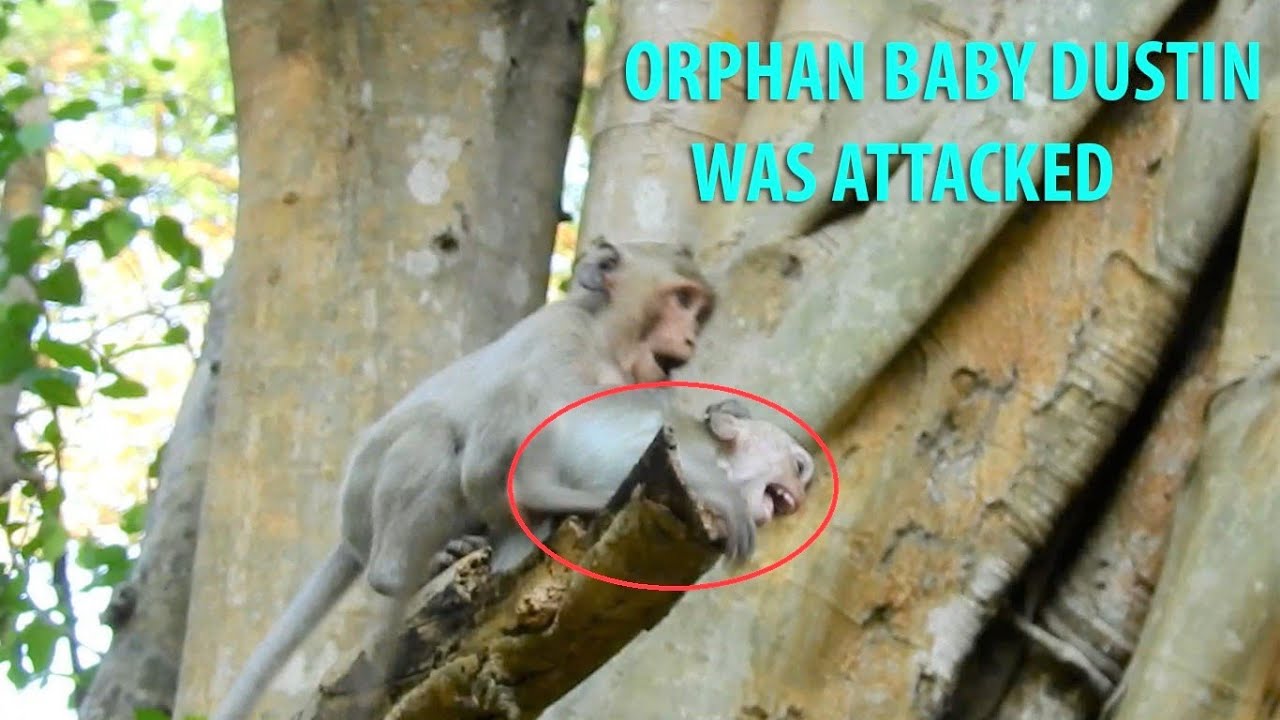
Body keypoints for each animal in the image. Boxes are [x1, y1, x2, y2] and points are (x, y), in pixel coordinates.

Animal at [212, 239, 754, 720]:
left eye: (699, 311)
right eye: (681, 300)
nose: (690, 338)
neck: (606, 341)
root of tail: (349, 535)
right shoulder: (558, 343)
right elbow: (515, 447)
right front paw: (715, 487)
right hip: (364, 493)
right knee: (434, 434)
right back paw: (401, 569)